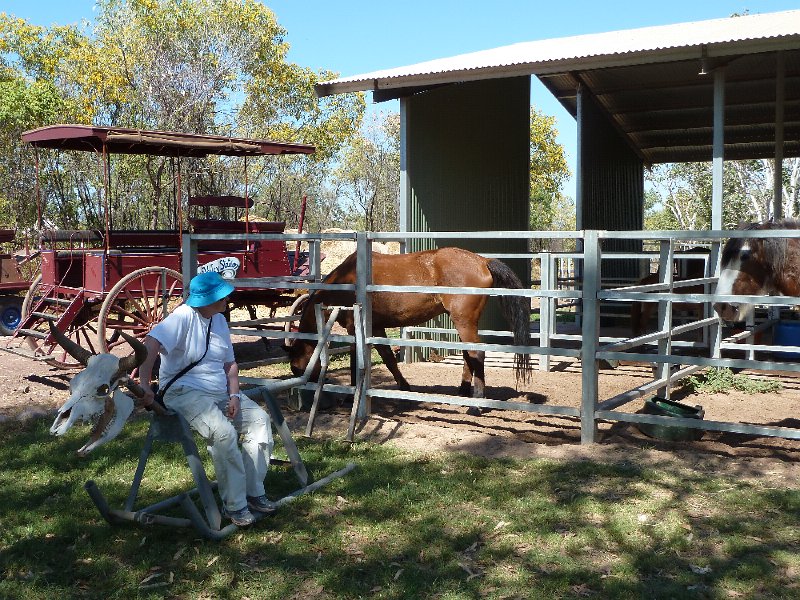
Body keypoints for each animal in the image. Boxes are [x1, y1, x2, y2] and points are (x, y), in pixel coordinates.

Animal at [286, 247, 532, 398]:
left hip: (464, 321)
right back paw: (462, 391)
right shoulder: (376, 327)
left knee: (476, 354)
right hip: (464, 323)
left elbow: (359, 361)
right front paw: (404, 387)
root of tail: (482, 261)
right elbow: (388, 358)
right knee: (467, 355)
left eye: (295, 367)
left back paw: (477, 402)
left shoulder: (355, 329)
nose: (304, 389)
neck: (345, 280)